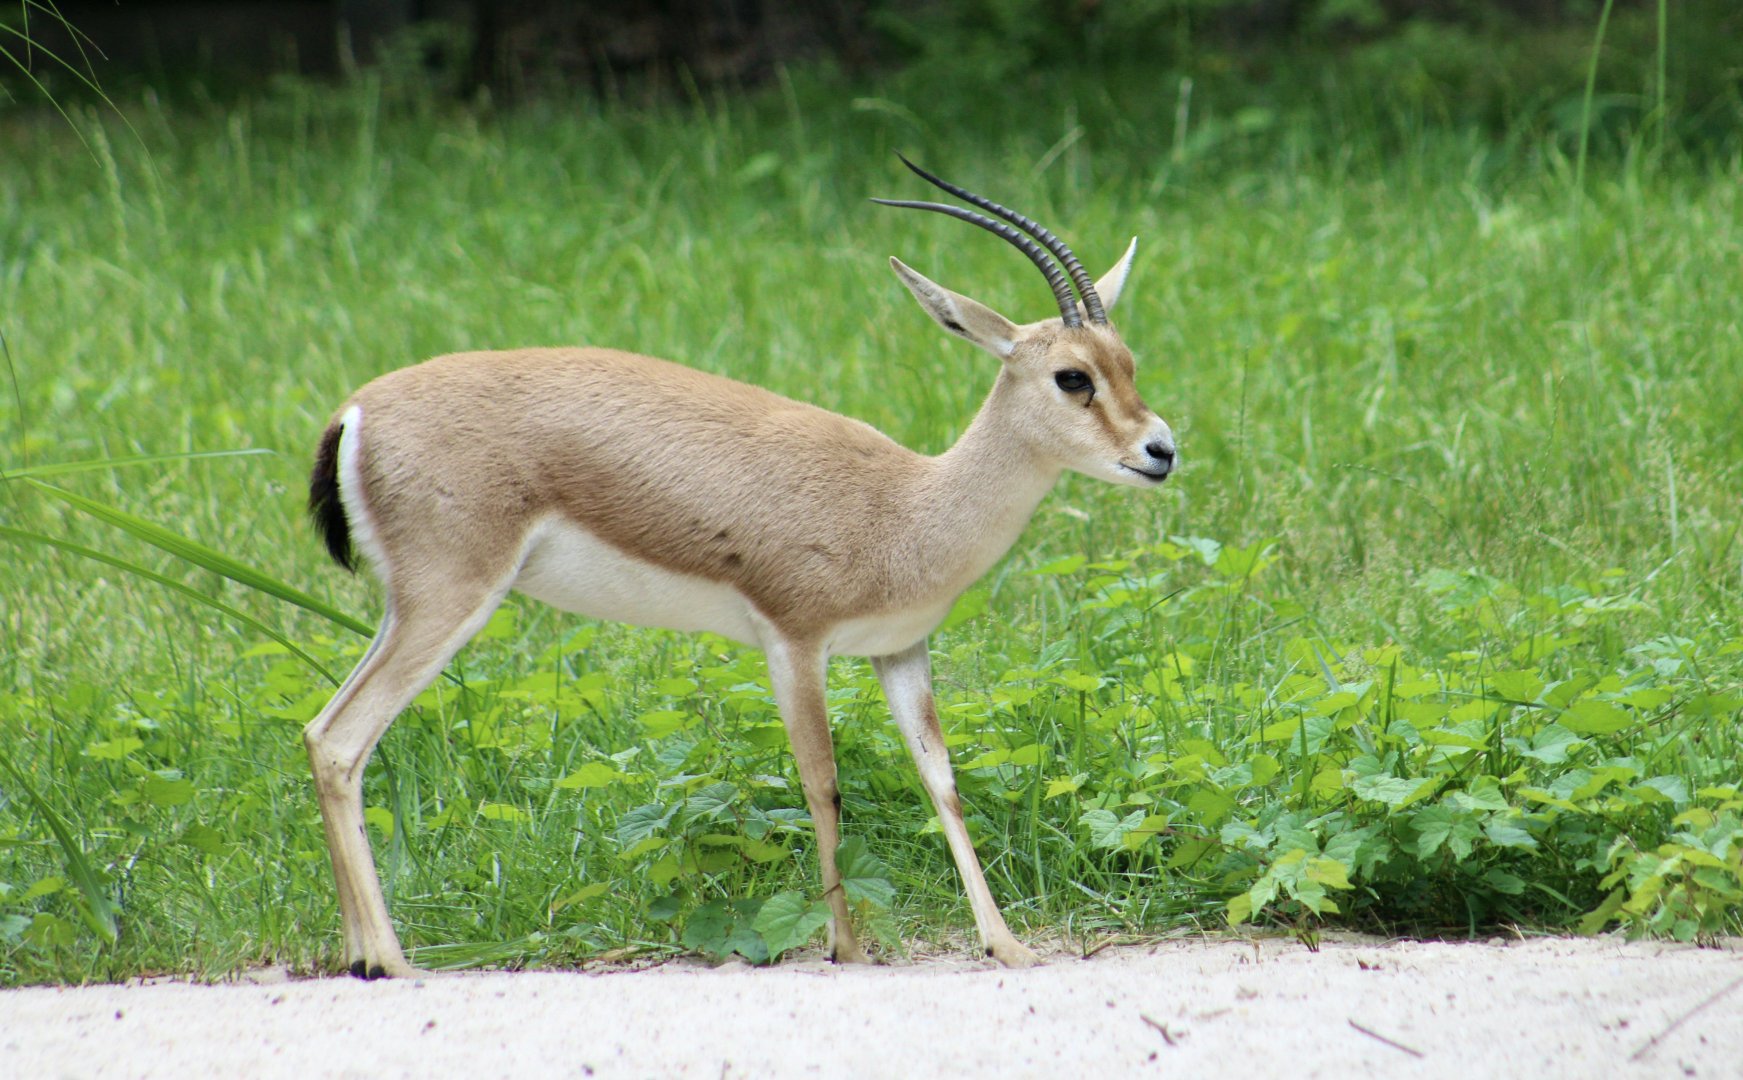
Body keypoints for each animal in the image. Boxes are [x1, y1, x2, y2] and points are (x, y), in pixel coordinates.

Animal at [303, 156, 1176, 978]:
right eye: (1072, 376)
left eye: (1129, 362)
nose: (1160, 451)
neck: (905, 507)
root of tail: (356, 410)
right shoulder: (794, 641)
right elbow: (822, 783)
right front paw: (847, 948)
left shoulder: (900, 649)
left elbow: (943, 783)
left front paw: (1008, 945)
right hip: (450, 597)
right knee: (342, 741)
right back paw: (390, 959)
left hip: (407, 607)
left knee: (321, 733)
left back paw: (358, 953)